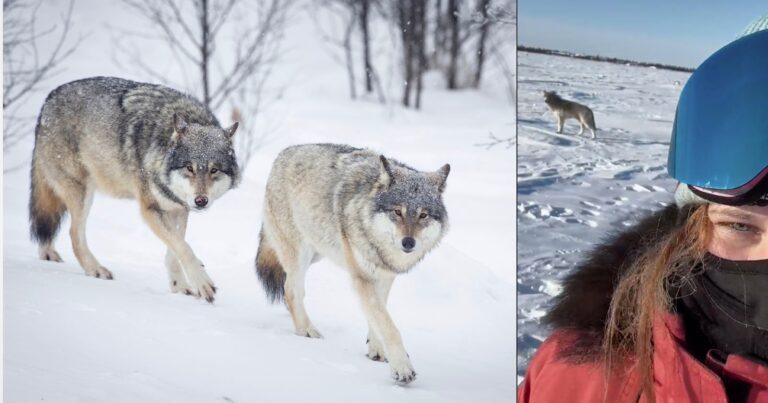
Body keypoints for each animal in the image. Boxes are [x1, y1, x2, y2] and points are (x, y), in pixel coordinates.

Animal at [29, 77, 239, 303]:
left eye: (214, 170)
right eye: (189, 168)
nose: (201, 201)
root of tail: (49, 99)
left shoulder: (178, 209)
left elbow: (175, 249)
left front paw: (180, 286)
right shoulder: (150, 209)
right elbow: (184, 248)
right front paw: (201, 282)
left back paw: (48, 255)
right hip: (81, 192)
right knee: (74, 234)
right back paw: (95, 269)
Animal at [255, 144, 450, 384]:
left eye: (423, 215)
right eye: (397, 212)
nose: (408, 242)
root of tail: (284, 153)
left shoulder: (384, 277)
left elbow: (379, 316)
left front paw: (376, 350)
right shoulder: (362, 278)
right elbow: (389, 325)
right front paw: (402, 368)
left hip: (318, 251)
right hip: (300, 253)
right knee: (291, 291)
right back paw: (307, 331)